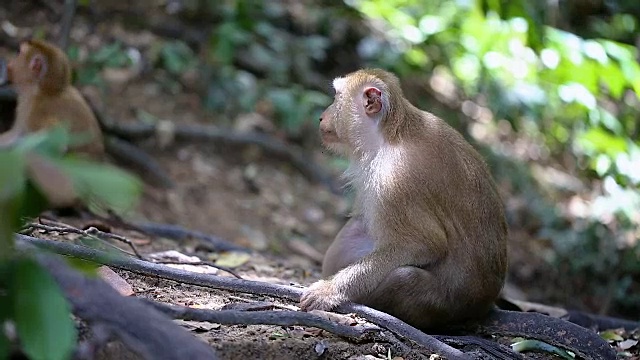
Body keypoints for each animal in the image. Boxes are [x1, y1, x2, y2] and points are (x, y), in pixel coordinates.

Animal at [302, 68, 510, 330]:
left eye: (337, 97)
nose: (322, 117)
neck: (390, 135)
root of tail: (484, 306)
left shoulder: (394, 181)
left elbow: (422, 244)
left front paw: (329, 291)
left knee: (404, 276)